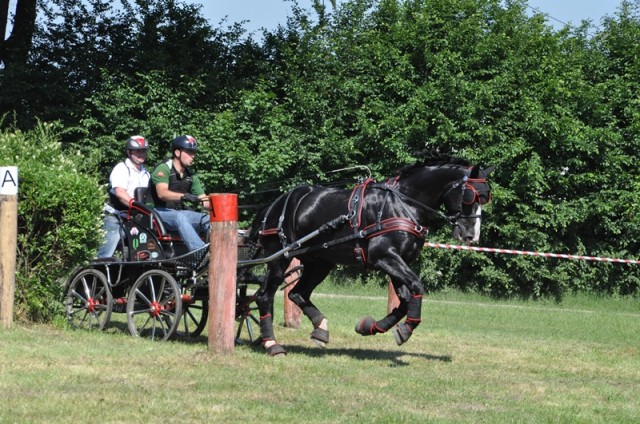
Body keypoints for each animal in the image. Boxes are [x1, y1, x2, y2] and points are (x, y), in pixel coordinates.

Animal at [248, 155, 492, 354]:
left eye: (485, 197)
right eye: (470, 196)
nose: (472, 236)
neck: (403, 204)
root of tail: (274, 205)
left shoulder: (397, 260)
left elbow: (405, 299)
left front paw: (371, 327)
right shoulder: (384, 257)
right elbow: (416, 286)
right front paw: (407, 328)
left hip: (320, 262)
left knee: (297, 293)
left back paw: (320, 330)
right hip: (280, 257)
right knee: (264, 296)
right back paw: (272, 344)